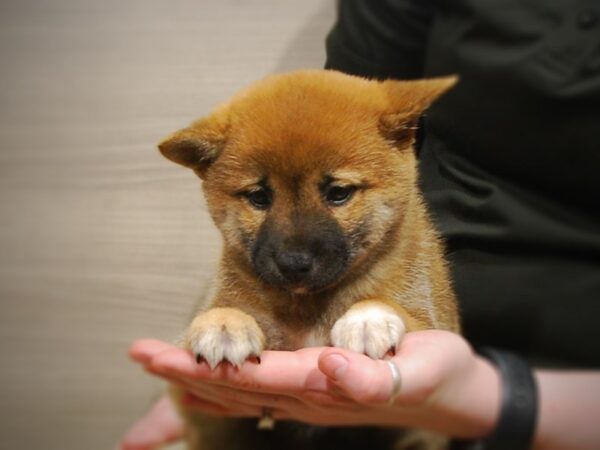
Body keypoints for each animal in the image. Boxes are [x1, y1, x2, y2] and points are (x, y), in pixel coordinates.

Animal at [158, 70, 460, 450]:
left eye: (339, 193)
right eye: (259, 197)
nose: (293, 262)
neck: (309, 306)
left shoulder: (435, 322)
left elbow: (390, 306)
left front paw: (368, 318)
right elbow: (223, 309)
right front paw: (223, 323)